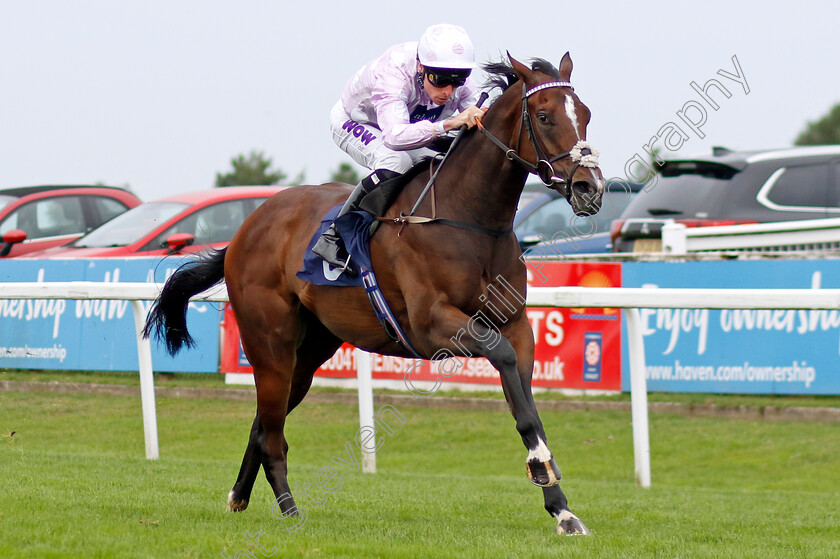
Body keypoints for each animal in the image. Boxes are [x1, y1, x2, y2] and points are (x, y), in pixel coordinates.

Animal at [144, 53, 604, 540]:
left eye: (586, 114)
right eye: (544, 116)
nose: (589, 188)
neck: (469, 219)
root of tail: (245, 229)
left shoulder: (516, 326)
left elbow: (525, 403)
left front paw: (562, 508)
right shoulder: (433, 325)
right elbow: (501, 359)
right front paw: (542, 467)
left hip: (310, 350)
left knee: (264, 421)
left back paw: (239, 496)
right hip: (269, 342)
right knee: (271, 432)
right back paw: (290, 510)